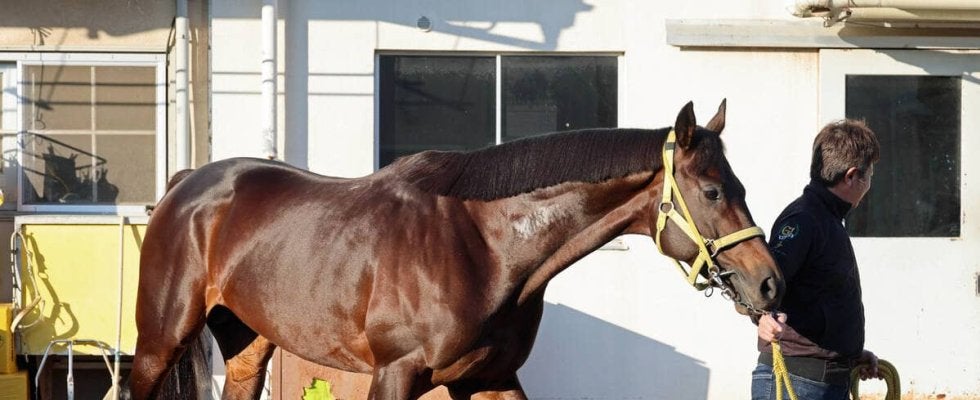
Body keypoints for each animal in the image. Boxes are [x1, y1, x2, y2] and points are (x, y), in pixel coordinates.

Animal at [125, 100, 783, 400]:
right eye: (713, 190)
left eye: (741, 186)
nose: (769, 282)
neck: (483, 248)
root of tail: (186, 184)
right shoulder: (396, 374)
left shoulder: (489, 377)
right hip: (160, 340)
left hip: (247, 345)